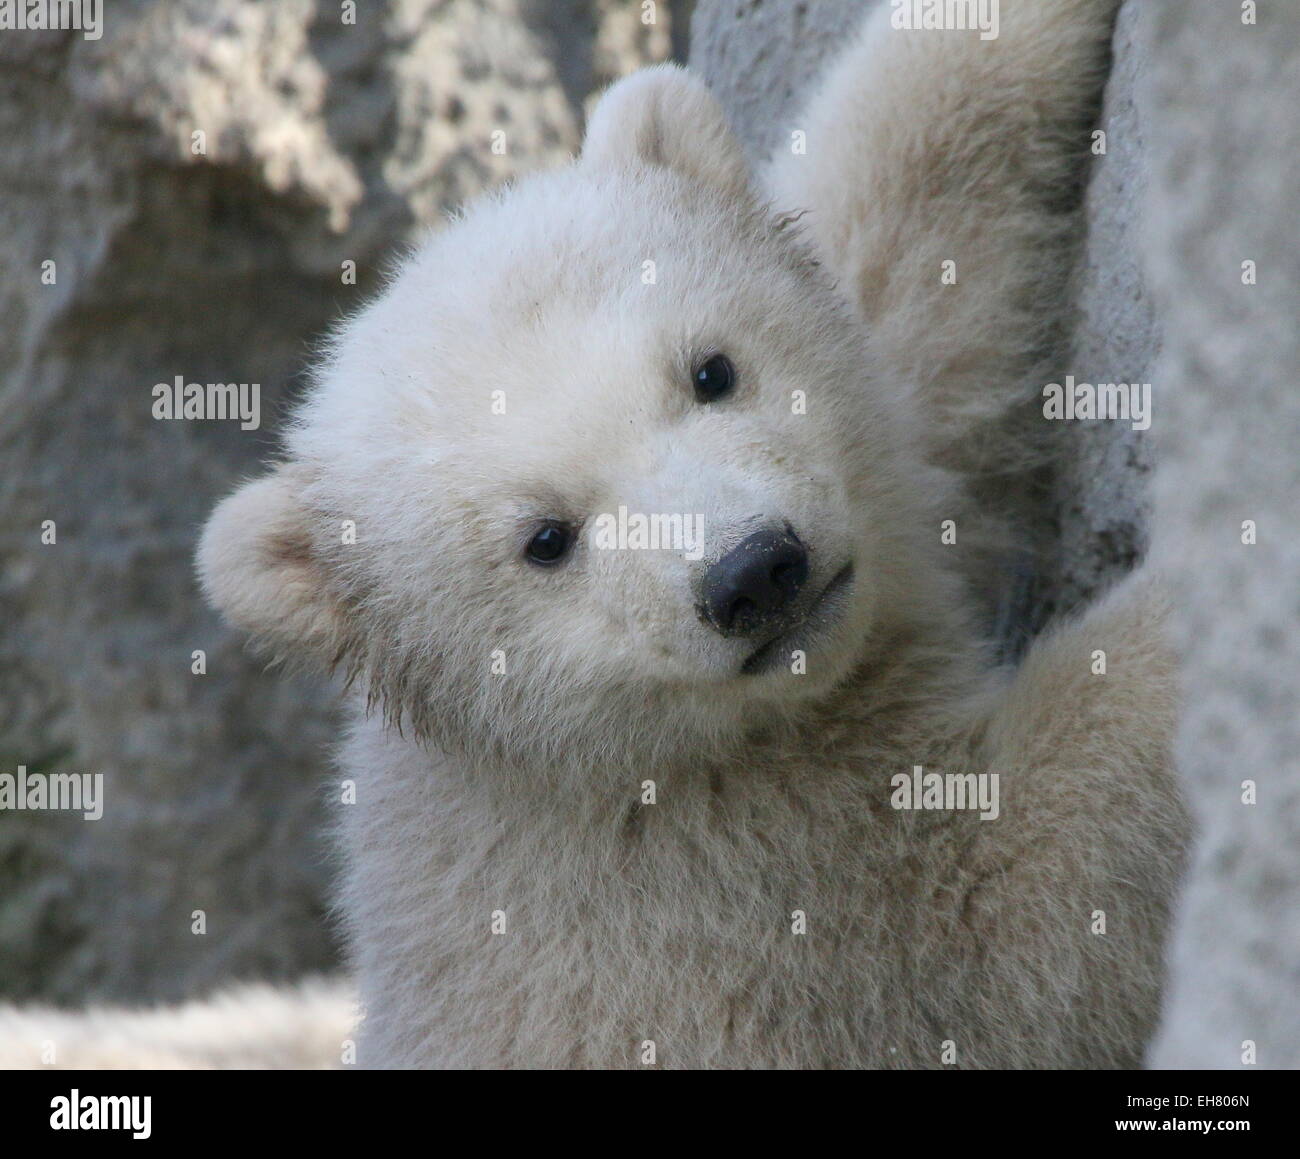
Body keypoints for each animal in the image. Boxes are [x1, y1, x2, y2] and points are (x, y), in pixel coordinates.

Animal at [199, 0, 1187, 1068]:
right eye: (546, 538)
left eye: (711, 370)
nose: (754, 572)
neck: (600, 773)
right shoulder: (729, 890)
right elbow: (1011, 916)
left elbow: (893, 247)